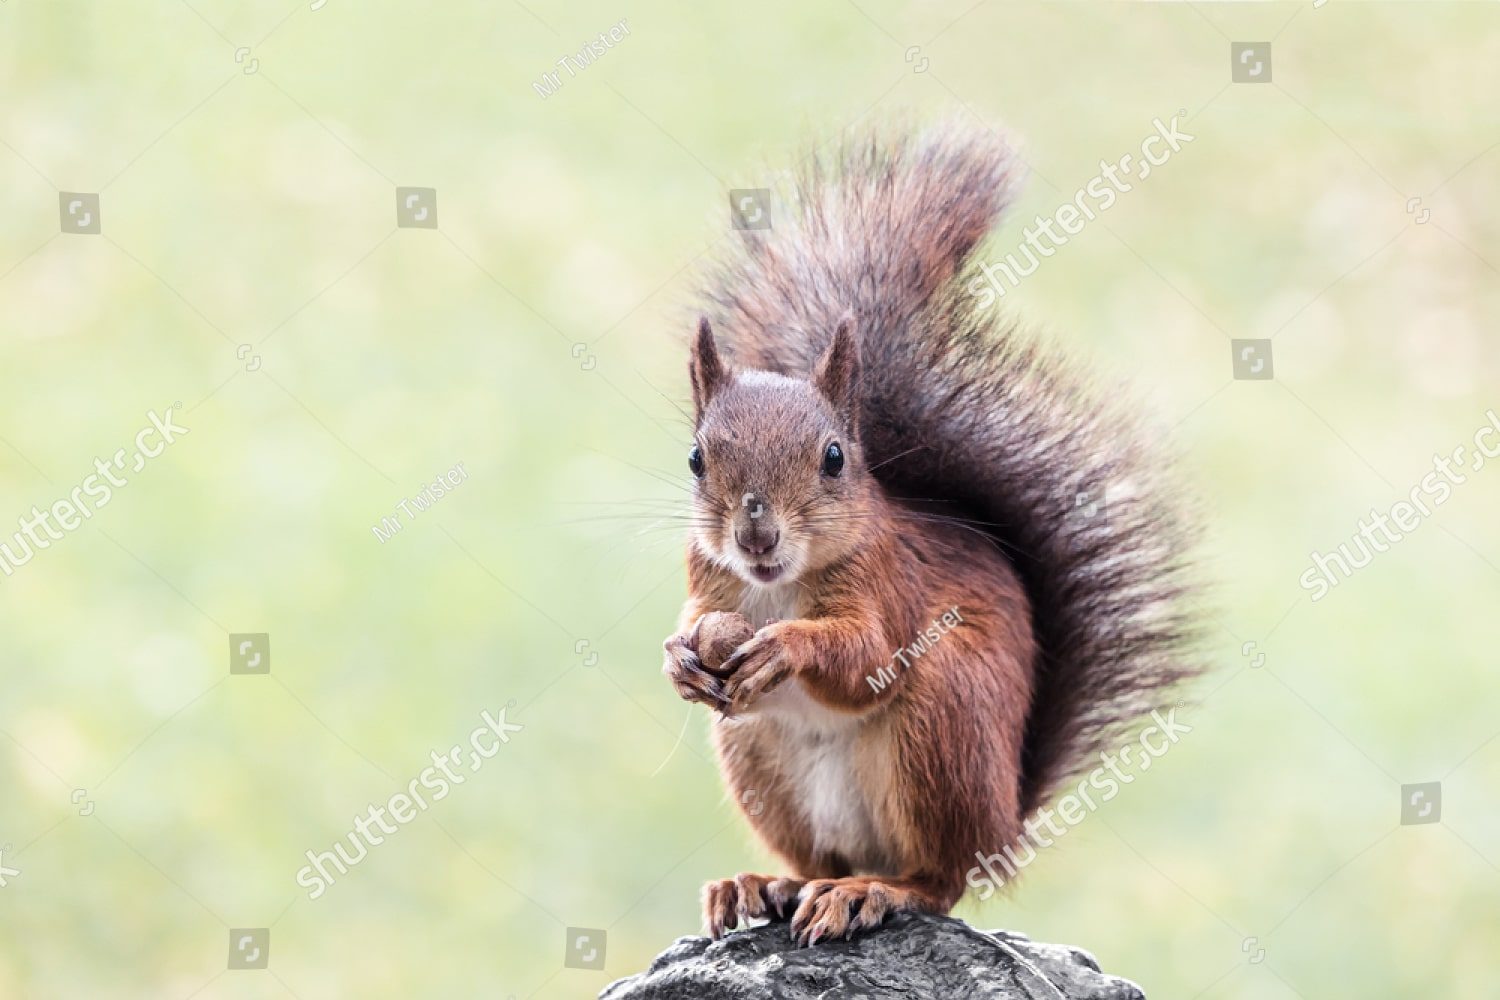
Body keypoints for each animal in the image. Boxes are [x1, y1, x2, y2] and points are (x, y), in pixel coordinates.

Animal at [660, 124, 1198, 948]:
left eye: (834, 458)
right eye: (696, 458)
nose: (756, 537)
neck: (774, 587)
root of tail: (1003, 825)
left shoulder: (889, 582)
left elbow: (865, 658)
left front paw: (787, 647)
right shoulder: (705, 576)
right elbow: (694, 619)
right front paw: (681, 657)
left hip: (943, 720)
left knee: (939, 881)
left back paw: (875, 891)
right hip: (756, 758)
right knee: (817, 861)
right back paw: (769, 883)